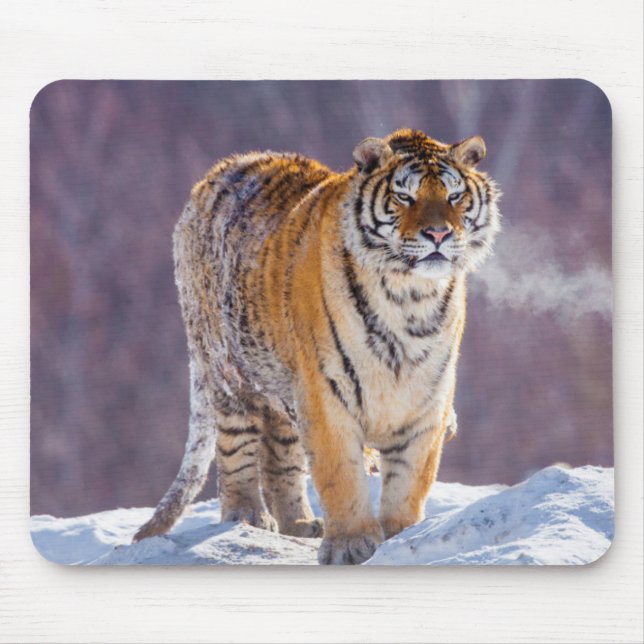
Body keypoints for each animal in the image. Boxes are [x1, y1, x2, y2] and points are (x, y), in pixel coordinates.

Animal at [133, 128, 501, 565]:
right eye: (404, 197)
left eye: (454, 196)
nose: (439, 234)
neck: (409, 298)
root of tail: (217, 173)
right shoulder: (327, 392)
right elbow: (340, 473)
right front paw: (351, 545)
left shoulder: (426, 399)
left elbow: (410, 478)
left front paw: (401, 536)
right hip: (228, 375)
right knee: (236, 450)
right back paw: (248, 517)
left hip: (282, 389)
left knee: (280, 458)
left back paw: (299, 524)